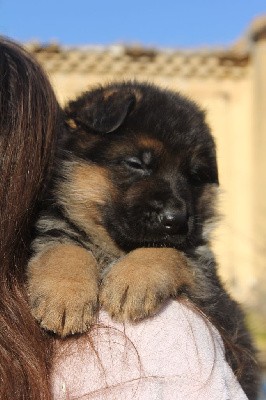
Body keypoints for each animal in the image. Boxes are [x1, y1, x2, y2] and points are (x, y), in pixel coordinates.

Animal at [27, 82, 258, 400]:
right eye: (137, 163)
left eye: (194, 176)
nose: (176, 219)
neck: (112, 250)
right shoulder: (56, 228)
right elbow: (64, 249)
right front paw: (64, 297)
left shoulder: (206, 284)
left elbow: (166, 251)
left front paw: (131, 282)